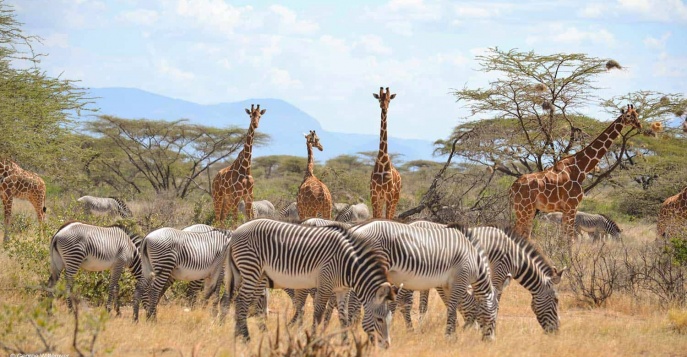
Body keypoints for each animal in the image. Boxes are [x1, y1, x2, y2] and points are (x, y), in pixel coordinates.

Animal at [220, 218, 398, 346]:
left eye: (390, 319)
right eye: (379, 319)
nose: (386, 346)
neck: (348, 264)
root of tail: (235, 232)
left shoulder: (342, 289)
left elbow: (344, 317)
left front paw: (346, 343)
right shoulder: (325, 284)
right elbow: (318, 314)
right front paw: (313, 340)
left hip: (254, 274)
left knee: (242, 303)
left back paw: (240, 336)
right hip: (251, 269)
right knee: (241, 302)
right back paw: (246, 338)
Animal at [346, 220, 498, 340]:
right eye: (495, 316)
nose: (490, 341)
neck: (475, 261)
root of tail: (357, 228)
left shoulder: (448, 285)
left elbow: (451, 308)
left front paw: (452, 334)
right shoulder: (460, 280)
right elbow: (452, 308)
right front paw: (450, 337)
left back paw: (353, 327)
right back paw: (354, 325)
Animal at [370, 87, 404, 218]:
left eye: (389, 100)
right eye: (379, 99)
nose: (384, 109)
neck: (382, 159)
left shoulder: (389, 194)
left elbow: (387, 218)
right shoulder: (374, 194)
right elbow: (376, 217)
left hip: (396, 197)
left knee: (391, 215)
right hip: (382, 198)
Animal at [510, 103, 644, 242]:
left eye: (636, 114)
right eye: (628, 116)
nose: (639, 125)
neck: (580, 168)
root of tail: (512, 187)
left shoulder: (566, 209)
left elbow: (564, 237)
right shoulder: (572, 206)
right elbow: (570, 238)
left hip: (528, 209)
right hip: (524, 209)